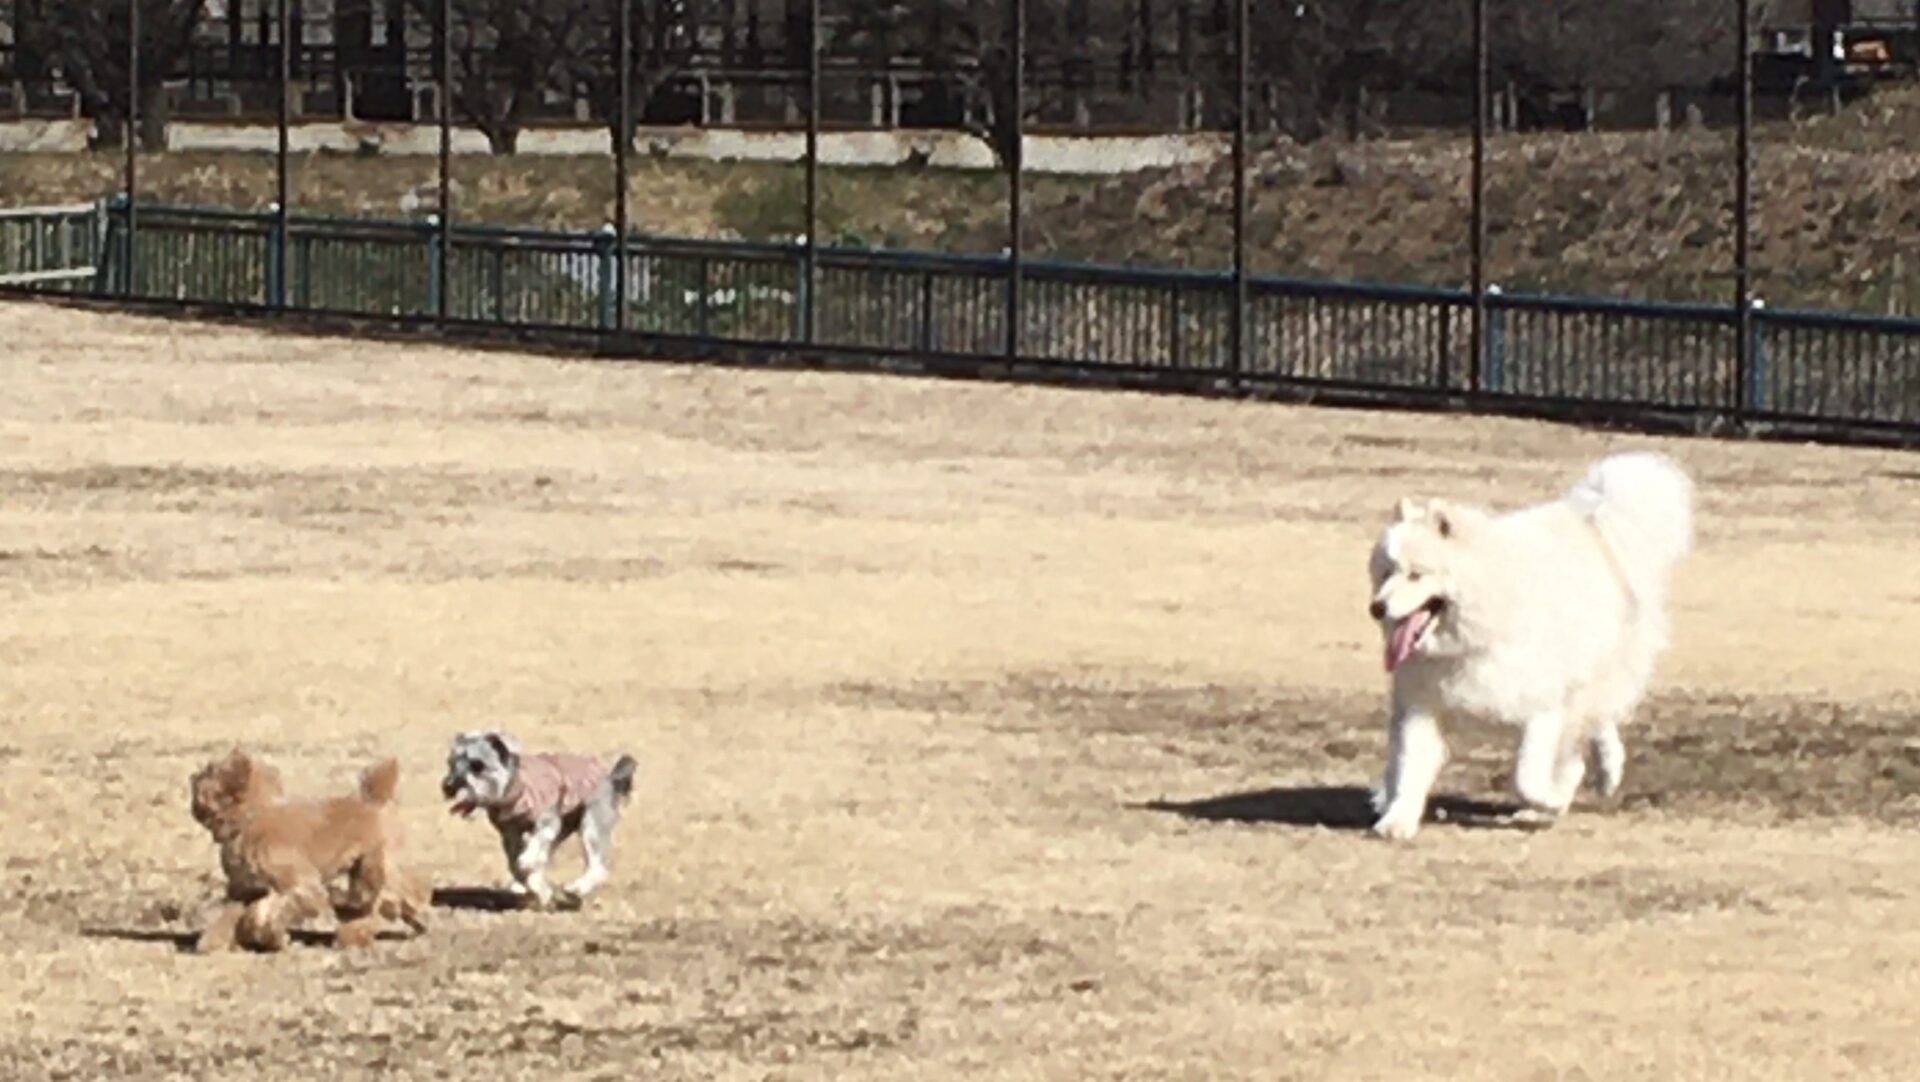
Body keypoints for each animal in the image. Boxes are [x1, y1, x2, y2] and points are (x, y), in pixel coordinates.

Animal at [188, 749, 430, 951]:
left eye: (206, 783)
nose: (192, 778)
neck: (250, 820)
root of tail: (376, 800)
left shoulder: (300, 885)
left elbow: (268, 912)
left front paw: (273, 938)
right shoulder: (245, 890)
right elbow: (229, 916)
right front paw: (213, 942)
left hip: (373, 866)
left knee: (391, 898)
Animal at [441, 731, 638, 910]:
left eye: (477, 765)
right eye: (451, 763)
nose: (448, 787)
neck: (515, 789)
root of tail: (611, 778)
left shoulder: (547, 822)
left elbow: (525, 859)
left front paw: (529, 867)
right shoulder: (510, 834)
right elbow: (516, 866)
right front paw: (539, 891)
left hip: (591, 825)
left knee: (597, 868)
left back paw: (575, 889)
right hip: (566, 827)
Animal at [1364, 451, 1694, 840]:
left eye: (1416, 574)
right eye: (1386, 572)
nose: (1376, 608)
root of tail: (1590, 521)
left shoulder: (1543, 709)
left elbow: (1527, 778)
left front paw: (1548, 801)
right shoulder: (1422, 708)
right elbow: (1408, 770)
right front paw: (1397, 821)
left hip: (1590, 681)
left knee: (1590, 734)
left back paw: (1593, 778)